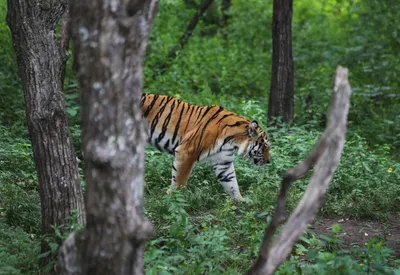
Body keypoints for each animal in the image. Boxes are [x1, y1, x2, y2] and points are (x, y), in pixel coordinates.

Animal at [141, 94, 272, 202]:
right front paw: (173, 199)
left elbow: (232, 182)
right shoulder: (186, 152)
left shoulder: (223, 162)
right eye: (265, 147)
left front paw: (241, 202)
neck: (232, 141)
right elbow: (179, 180)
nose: (268, 161)